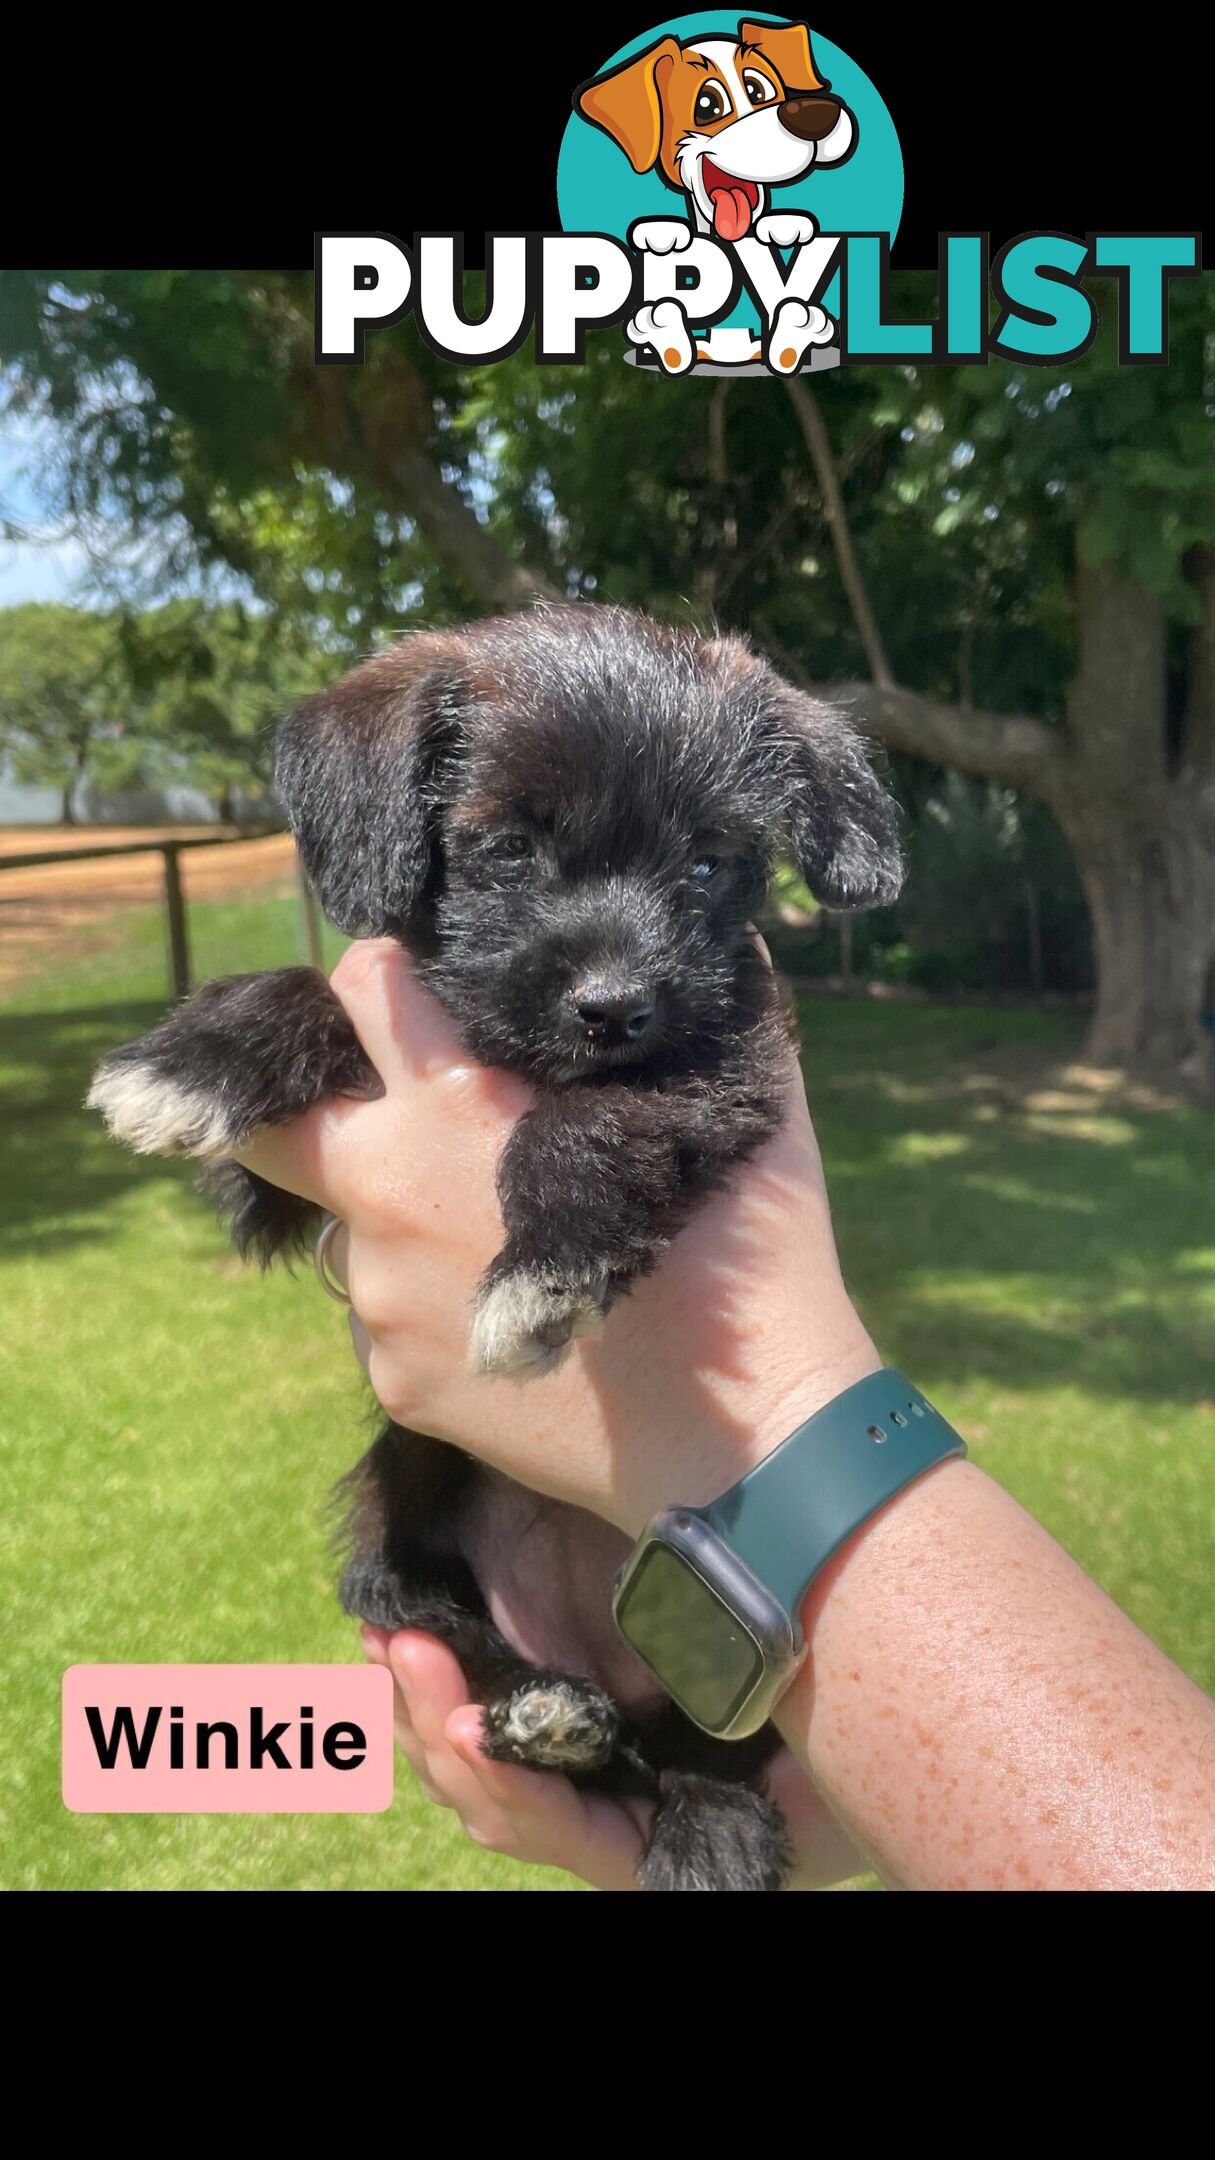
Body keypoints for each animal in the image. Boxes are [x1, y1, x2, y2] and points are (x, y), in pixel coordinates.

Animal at [89, 609, 899, 1892]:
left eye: (709, 864)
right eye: (508, 849)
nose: (612, 1006)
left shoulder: (723, 1063)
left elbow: (584, 1123)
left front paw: (543, 1267)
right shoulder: (283, 1185)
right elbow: (319, 993)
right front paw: (200, 1053)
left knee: (712, 1743)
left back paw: (702, 1821)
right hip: (402, 1469)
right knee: (406, 1595)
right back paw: (544, 1712)